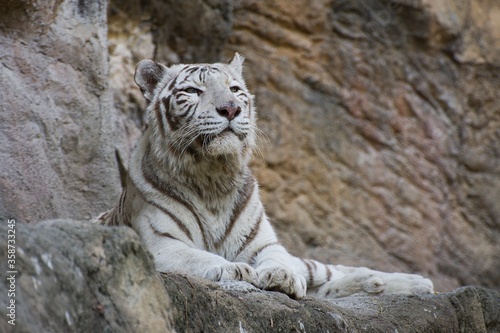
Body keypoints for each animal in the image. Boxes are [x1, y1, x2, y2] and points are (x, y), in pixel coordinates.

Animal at [95, 52, 432, 298]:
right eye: (192, 91)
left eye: (235, 90)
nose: (230, 109)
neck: (212, 176)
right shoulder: (161, 244)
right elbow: (198, 257)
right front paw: (233, 269)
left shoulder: (265, 244)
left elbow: (279, 259)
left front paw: (281, 276)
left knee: (327, 270)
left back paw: (414, 283)